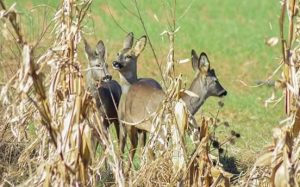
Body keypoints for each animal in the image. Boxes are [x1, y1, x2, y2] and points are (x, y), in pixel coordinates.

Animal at [112, 32, 227, 169]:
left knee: (139, 148)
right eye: (215, 80)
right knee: (126, 147)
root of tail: (129, 87)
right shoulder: (161, 128)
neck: (181, 102)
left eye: (128, 56)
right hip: (127, 122)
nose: (224, 91)